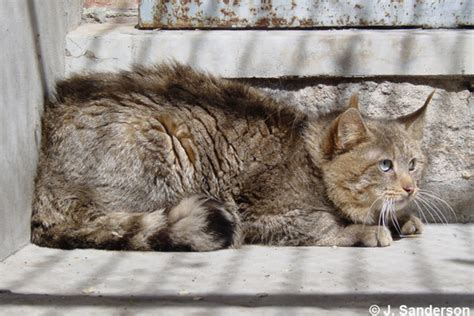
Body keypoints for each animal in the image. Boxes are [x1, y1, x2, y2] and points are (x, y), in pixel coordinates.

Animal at [31, 63, 436, 252]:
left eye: (413, 164)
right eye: (385, 165)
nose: (411, 188)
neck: (310, 159)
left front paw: (401, 219)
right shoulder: (257, 214)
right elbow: (322, 226)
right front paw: (366, 230)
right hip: (161, 147)